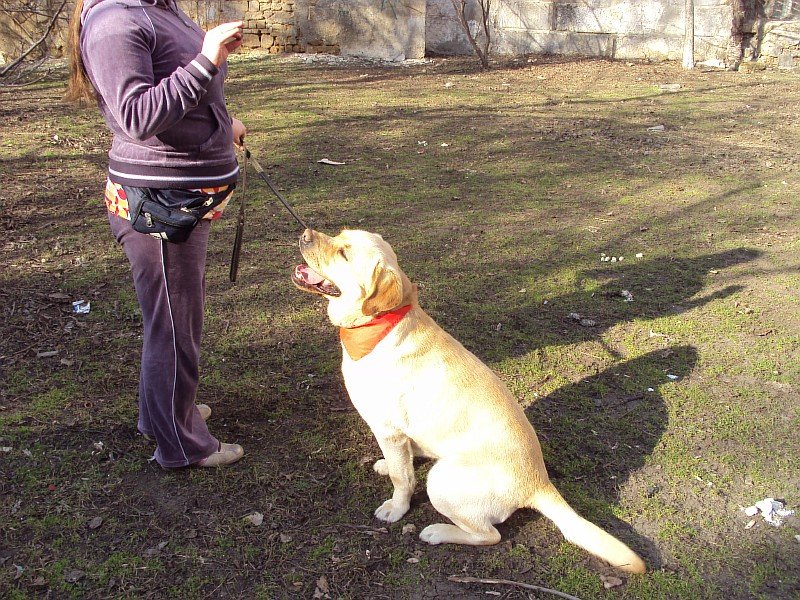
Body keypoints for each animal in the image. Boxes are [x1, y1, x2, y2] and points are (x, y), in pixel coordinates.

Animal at [290, 227, 648, 576]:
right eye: (339, 234)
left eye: (343, 253)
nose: (305, 234)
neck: (380, 325)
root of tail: (539, 482)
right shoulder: (396, 435)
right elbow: (401, 464)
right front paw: (390, 466)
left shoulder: (389, 429)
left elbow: (402, 479)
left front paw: (396, 508)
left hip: (440, 481)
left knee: (489, 535)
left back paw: (437, 531)